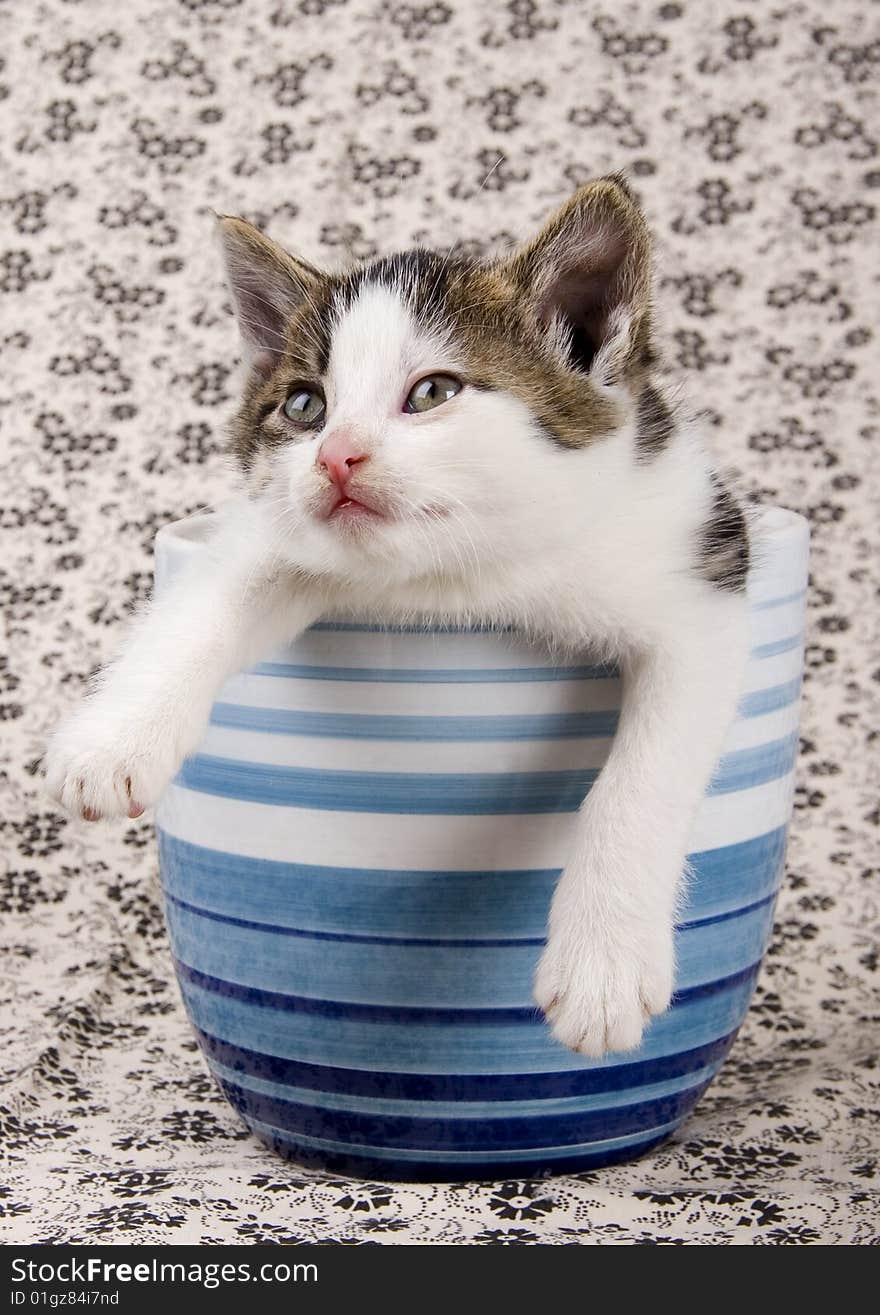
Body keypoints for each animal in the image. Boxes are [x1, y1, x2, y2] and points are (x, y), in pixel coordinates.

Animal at [44, 174, 747, 1057]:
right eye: (303, 405)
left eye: (434, 392)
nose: (335, 456)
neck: (463, 577)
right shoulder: (279, 528)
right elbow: (208, 597)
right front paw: (114, 740)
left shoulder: (700, 571)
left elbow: (645, 772)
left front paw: (603, 962)